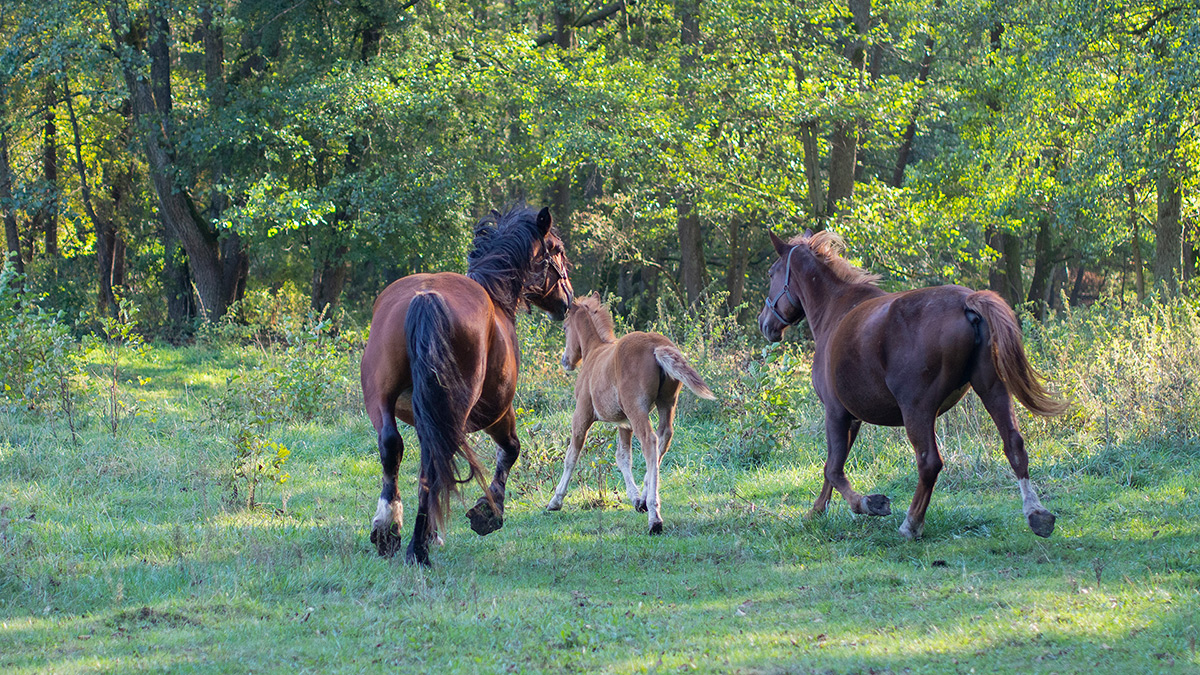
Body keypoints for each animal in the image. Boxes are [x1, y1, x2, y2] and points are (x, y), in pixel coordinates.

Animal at [360, 205, 571, 562]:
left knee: (392, 447)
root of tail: (426, 296)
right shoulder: (497, 413)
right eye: (557, 250)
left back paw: (389, 530)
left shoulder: (425, 417)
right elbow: (511, 450)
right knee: (434, 464)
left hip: (382, 400)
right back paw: (417, 548)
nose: (567, 302)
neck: (496, 297)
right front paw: (489, 511)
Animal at [549, 293, 715, 530]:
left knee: (650, 441)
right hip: (667, 403)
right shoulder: (624, 422)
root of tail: (656, 346)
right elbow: (623, 457)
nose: (565, 361)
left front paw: (555, 501)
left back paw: (654, 518)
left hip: (638, 408)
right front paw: (636, 498)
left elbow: (572, 454)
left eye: (565, 327)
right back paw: (647, 499)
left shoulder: (582, 413)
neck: (594, 352)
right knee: (664, 438)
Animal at [758, 228, 1070, 538]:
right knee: (1014, 445)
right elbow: (831, 466)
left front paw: (869, 503)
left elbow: (835, 469)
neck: (836, 309)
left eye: (771, 273)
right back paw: (1037, 513)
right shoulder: (852, 418)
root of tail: (966, 303)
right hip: (993, 390)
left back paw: (911, 524)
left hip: (917, 410)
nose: (764, 323)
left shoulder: (835, 412)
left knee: (929, 461)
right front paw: (817, 511)